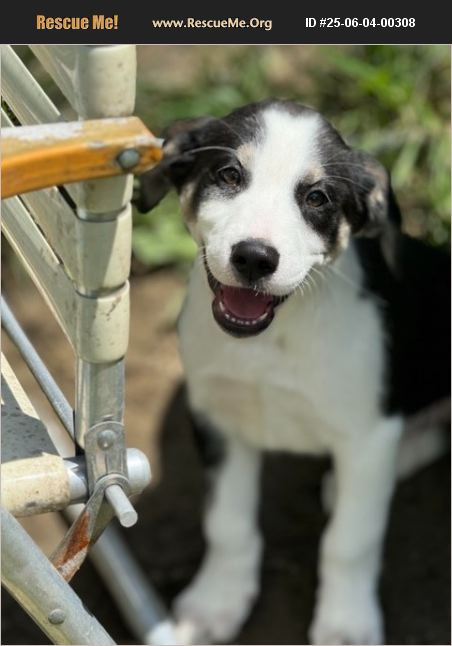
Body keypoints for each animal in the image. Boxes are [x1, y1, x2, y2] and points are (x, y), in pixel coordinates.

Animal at [135, 99, 450, 645]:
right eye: (228, 174)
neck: (272, 340)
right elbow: (227, 524)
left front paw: (345, 624)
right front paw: (214, 604)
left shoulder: (366, 434)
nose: (254, 257)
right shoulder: (217, 416)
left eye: (317, 197)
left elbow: (350, 540)